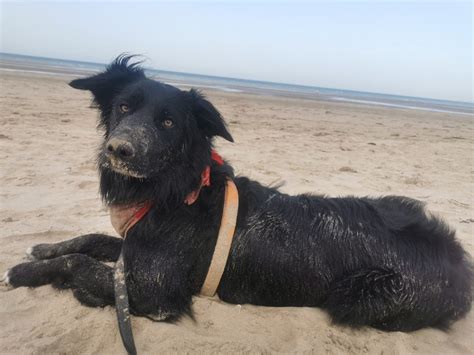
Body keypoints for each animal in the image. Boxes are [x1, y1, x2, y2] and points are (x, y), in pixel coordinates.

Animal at [2, 55, 470, 330]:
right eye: (123, 107)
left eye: (168, 122)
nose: (118, 149)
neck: (176, 191)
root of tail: (460, 264)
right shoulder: (134, 250)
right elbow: (90, 240)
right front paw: (42, 249)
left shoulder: (155, 291)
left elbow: (79, 263)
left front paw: (22, 273)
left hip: (357, 296)